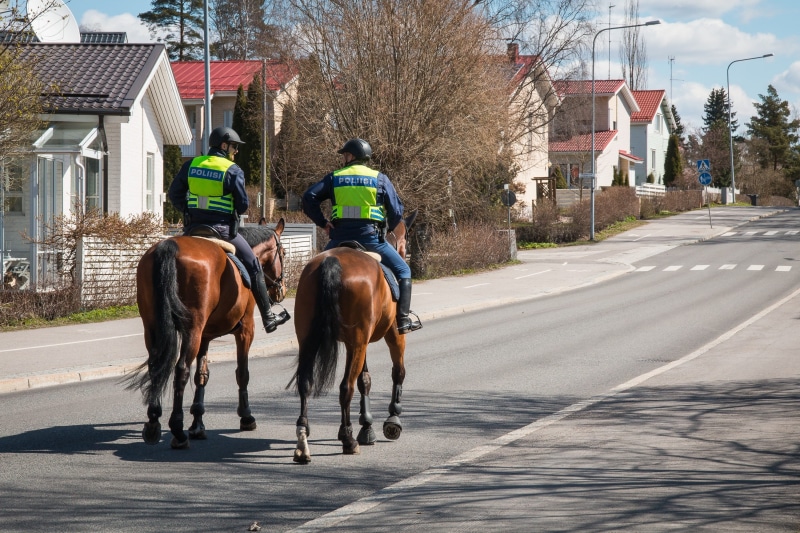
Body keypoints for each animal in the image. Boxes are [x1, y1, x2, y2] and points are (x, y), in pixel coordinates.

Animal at [127, 219, 288, 449]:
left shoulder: (205, 336)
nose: (281, 290)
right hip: (192, 328)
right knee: (181, 369)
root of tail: (169, 246)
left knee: (156, 367)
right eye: (283, 252)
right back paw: (177, 430)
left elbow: (201, 375)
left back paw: (153, 423)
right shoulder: (246, 330)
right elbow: (242, 373)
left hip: (153, 328)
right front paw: (246, 416)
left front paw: (197, 423)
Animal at [289, 211, 417, 463]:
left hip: (311, 339)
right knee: (345, 387)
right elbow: (398, 372)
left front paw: (367, 426)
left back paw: (303, 441)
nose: (406, 253)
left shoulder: (359, 342)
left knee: (306, 382)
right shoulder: (392, 334)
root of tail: (332, 263)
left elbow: (364, 380)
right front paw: (392, 419)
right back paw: (347, 439)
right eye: (406, 237)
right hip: (360, 340)